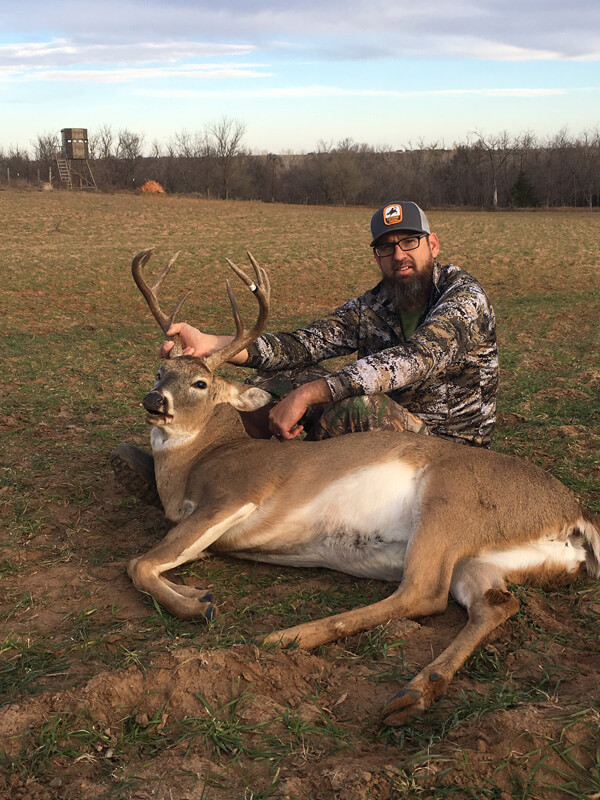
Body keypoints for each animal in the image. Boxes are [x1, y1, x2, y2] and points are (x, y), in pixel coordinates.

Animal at [124, 247, 600, 726]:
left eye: (200, 383)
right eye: (159, 371)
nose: (154, 401)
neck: (200, 460)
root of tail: (575, 512)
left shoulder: (233, 495)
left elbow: (139, 564)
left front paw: (199, 606)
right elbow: (161, 560)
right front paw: (197, 592)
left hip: (449, 500)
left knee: (422, 593)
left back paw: (283, 638)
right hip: (481, 560)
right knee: (496, 604)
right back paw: (414, 692)